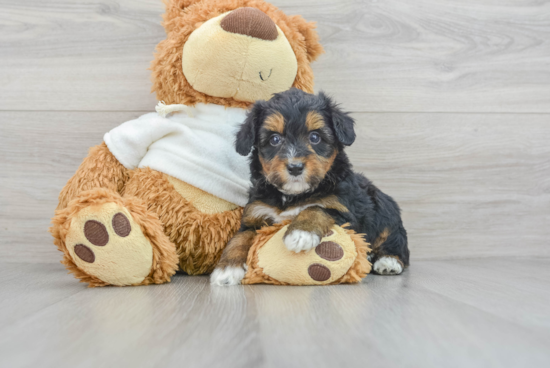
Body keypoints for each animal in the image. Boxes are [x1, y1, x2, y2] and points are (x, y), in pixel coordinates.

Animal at [211, 88, 410, 284]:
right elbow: (239, 238)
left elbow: (316, 208)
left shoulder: (345, 212)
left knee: (395, 241)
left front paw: (301, 233)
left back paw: (388, 261)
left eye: (315, 137)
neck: (292, 196)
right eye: (274, 139)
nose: (295, 167)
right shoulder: (255, 214)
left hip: (386, 213)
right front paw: (227, 268)